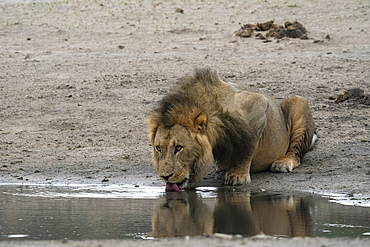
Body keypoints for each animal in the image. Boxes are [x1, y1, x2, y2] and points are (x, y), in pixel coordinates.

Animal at [147, 68, 316, 190]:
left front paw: (238, 175)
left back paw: (283, 163)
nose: (165, 176)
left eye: (178, 148)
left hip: (298, 101)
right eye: (158, 148)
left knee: (296, 154)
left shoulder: (258, 105)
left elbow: (247, 147)